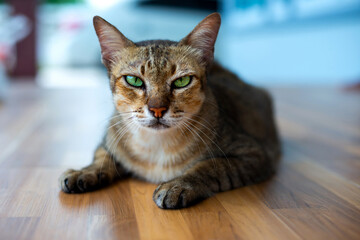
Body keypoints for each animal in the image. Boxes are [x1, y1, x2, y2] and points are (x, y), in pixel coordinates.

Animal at [59, 12, 282, 208]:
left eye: (182, 81)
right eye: (134, 80)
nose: (157, 109)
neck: (156, 147)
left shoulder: (253, 155)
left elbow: (209, 166)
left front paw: (178, 185)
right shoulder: (108, 139)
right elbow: (102, 157)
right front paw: (84, 172)